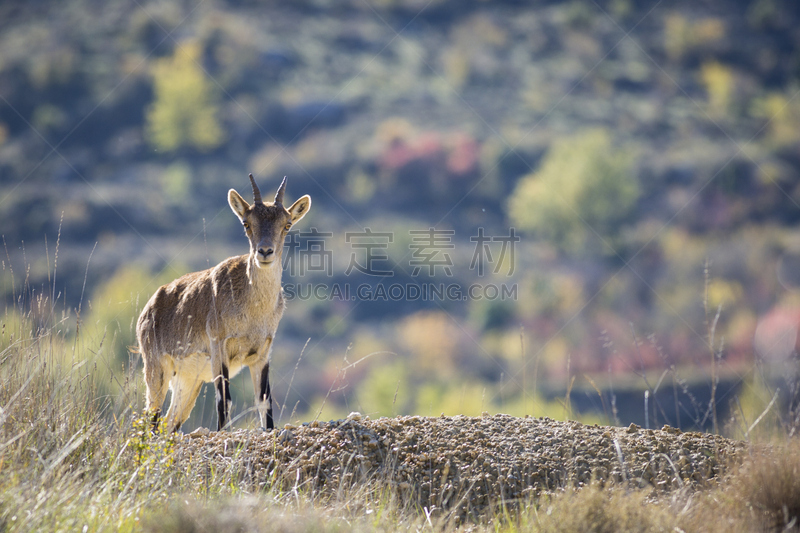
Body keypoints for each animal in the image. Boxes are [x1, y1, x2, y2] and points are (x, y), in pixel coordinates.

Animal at [136, 175, 310, 432]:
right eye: (246, 223)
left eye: (287, 224)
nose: (265, 252)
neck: (253, 310)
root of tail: (147, 311)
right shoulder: (219, 347)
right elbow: (224, 400)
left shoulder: (262, 353)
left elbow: (264, 402)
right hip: (156, 369)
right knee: (151, 418)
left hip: (188, 380)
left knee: (170, 421)